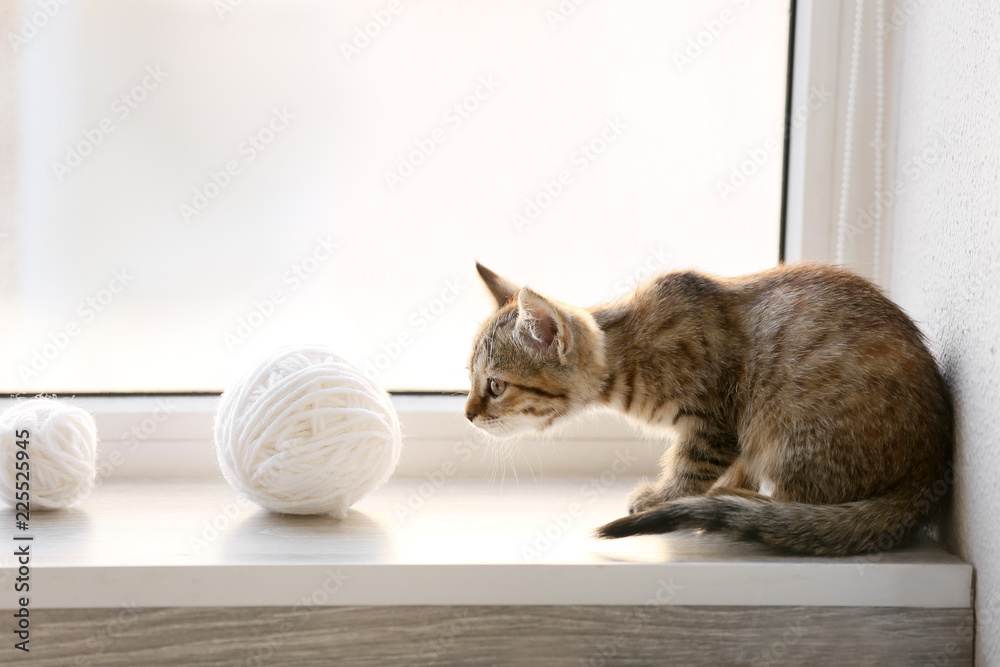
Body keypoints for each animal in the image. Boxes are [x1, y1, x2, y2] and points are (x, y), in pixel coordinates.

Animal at [468, 262, 952, 560]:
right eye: (470, 380)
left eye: (495, 386)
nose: (469, 414)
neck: (631, 354)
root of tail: (929, 470)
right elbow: (732, 465)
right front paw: (722, 487)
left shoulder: (716, 422)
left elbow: (691, 466)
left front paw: (665, 497)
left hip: (795, 430)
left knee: (799, 506)